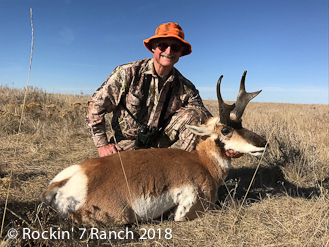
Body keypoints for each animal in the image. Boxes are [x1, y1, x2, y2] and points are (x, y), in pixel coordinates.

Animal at [41, 71, 266, 226]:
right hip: (119, 215)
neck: (202, 162)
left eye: (241, 123)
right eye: (226, 130)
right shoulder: (191, 210)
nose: (263, 143)